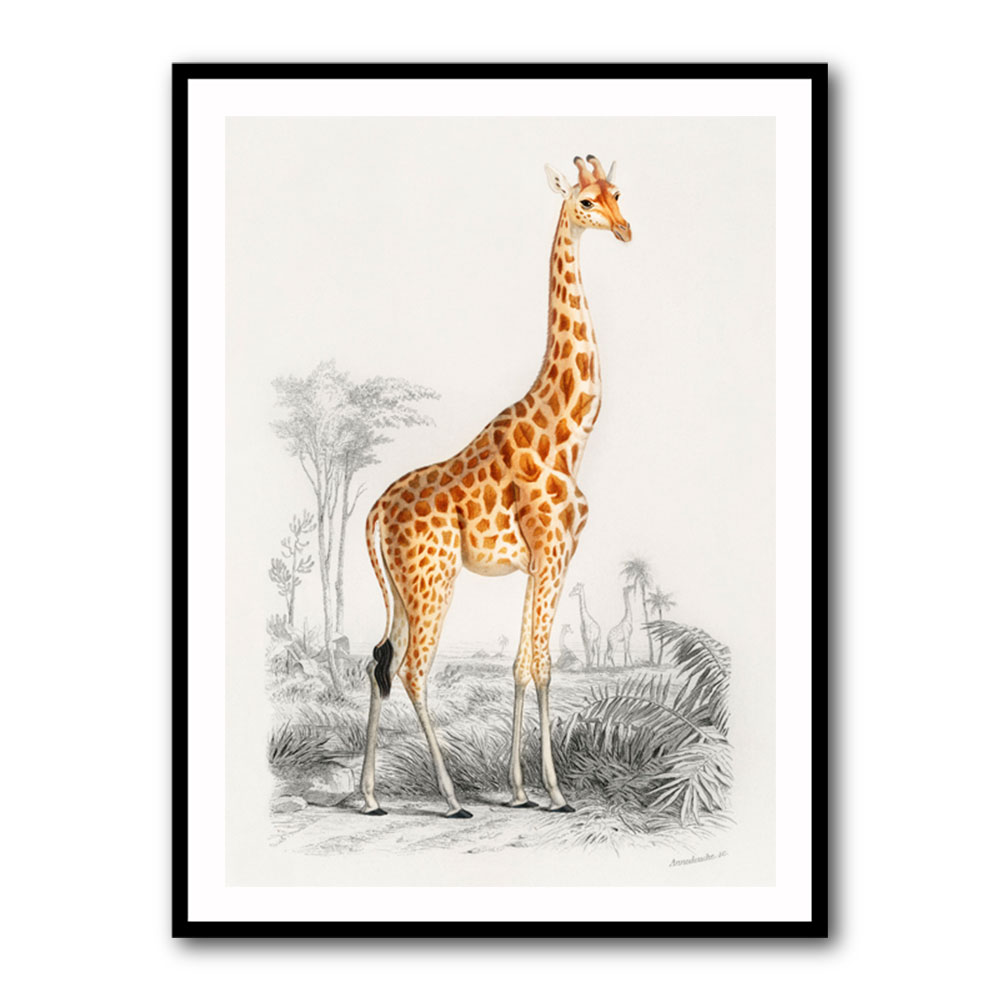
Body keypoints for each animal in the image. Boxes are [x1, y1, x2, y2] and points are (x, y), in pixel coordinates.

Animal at [360, 154, 631, 818]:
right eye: (585, 202)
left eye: (618, 193)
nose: (624, 229)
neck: (570, 433)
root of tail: (374, 512)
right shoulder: (553, 551)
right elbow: (544, 666)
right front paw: (555, 793)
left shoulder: (543, 560)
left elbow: (521, 664)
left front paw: (520, 790)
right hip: (432, 580)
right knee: (412, 670)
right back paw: (453, 798)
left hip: (403, 589)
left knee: (378, 661)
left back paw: (370, 797)